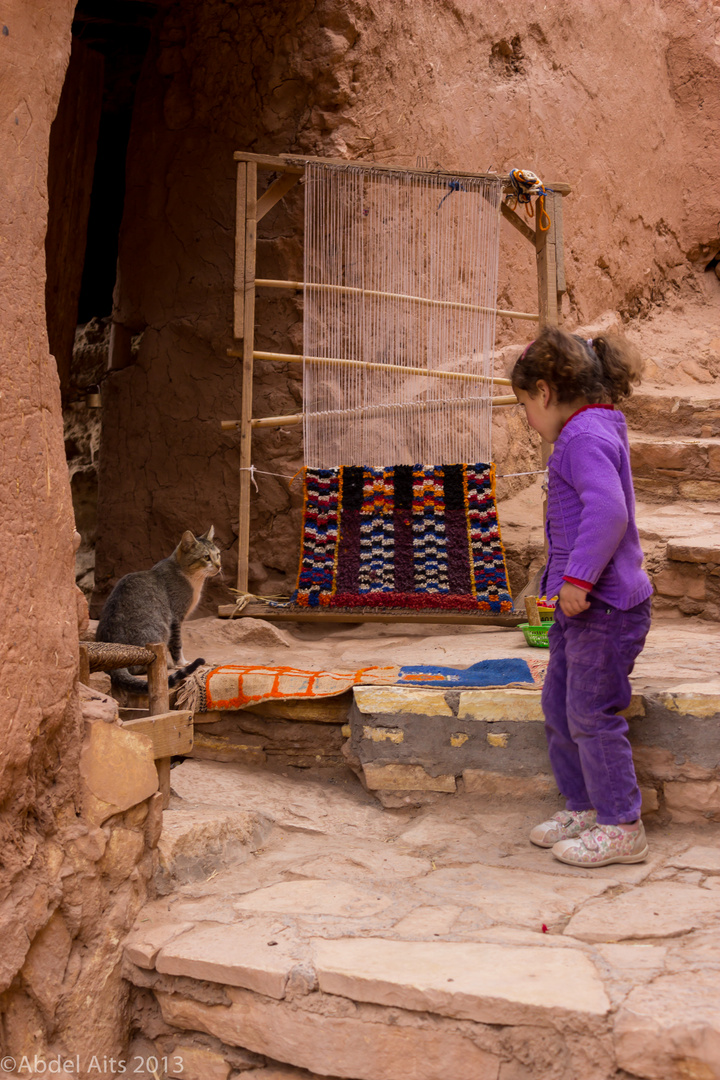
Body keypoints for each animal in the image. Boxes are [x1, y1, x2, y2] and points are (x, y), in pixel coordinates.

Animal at [95, 527, 221, 695]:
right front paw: (181, 662)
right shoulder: (175, 617)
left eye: (218, 554)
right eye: (206, 557)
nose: (219, 566)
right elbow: (177, 644)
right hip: (159, 630)